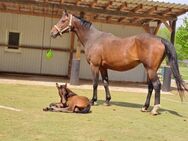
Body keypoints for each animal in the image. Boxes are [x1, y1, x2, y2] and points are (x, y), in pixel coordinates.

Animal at [50, 10, 187, 114]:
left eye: (63, 20)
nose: (52, 33)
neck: (93, 39)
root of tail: (159, 39)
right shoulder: (103, 67)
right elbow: (106, 82)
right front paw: (107, 101)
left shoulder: (95, 66)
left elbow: (95, 83)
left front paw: (93, 101)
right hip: (151, 69)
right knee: (150, 87)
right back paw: (145, 107)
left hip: (151, 69)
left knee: (157, 85)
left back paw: (155, 109)